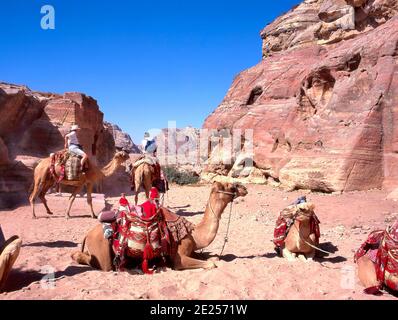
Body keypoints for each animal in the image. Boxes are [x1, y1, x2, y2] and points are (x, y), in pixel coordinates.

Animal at [70, 181, 247, 272]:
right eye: (230, 186)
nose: (244, 188)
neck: (194, 234)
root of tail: (87, 234)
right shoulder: (179, 257)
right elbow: (211, 263)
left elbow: (212, 257)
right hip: (102, 253)